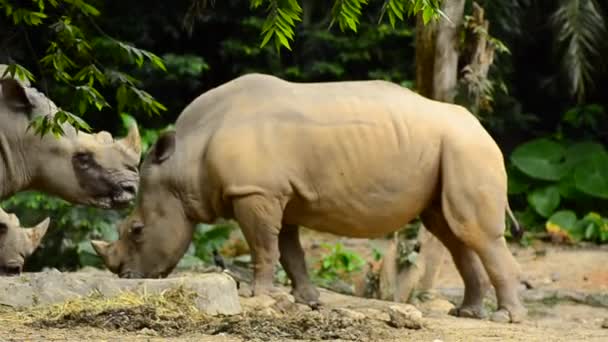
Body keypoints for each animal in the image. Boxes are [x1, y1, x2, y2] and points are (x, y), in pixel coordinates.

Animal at [92, 73, 524, 324]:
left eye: (137, 229)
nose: (126, 277)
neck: (186, 160)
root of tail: (484, 130)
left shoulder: (256, 191)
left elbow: (263, 247)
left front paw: (258, 296)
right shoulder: (277, 194)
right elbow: (288, 250)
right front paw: (308, 301)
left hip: (467, 149)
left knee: (475, 233)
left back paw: (505, 319)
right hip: (453, 150)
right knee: (450, 230)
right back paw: (467, 313)